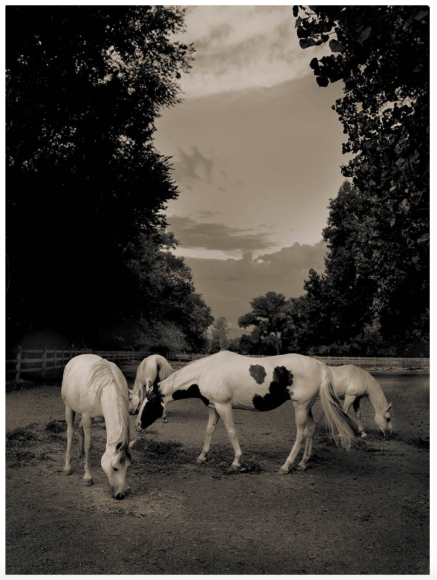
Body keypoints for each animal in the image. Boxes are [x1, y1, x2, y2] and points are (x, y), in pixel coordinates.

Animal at [61, 354, 133, 498]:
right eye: (114, 468)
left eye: (128, 466)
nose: (120, 495)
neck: (105, 388)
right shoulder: (87, 418)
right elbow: (88, 445)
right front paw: (87, 477)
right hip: (69, 408)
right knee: (70, 433)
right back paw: (68, 467)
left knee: (80, 430)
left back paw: (80, 454)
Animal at [135, 352, 358, 474]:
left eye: (148, 404)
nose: (136, 425)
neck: (206, 372)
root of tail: (320, 366)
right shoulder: (214, 407)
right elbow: (209, 431)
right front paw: (202, 456)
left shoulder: (224, 406)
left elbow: (231, 432)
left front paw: (236, 462)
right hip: (307, 406)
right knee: (311, 430)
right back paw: (303, 463)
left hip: (301, 407)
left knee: (301, 433)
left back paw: (286, 465)